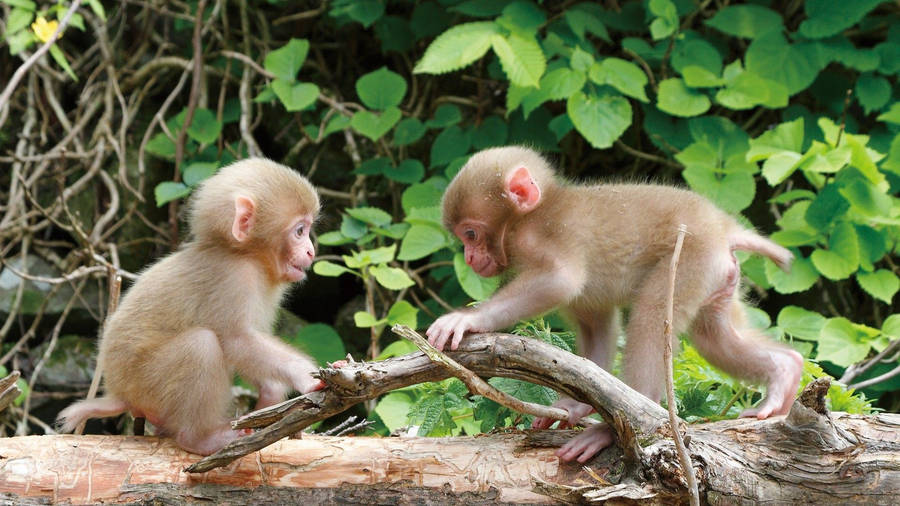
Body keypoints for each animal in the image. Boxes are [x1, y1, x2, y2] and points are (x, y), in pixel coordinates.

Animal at [58, 158, 332, 456]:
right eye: (299, 231)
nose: (310, 251)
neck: (244, 255)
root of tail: (118, 392)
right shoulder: (234, 278)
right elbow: (237, 341)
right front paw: (304, 375)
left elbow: (250, 348)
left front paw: (270, 397)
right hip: (143, 382)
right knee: (202, 345)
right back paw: (199, 439)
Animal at [426, 146, 803, 463]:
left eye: (470, 234)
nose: (469, 257)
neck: (533, 214)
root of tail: (725, 228)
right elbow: (595, 331)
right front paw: (574, 404)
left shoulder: (549, 238)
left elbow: (561, 280)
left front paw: (467, 319)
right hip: (717, 273)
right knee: (715, 335)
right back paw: (785, 373)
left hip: (692, 256)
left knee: (652, 316)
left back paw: (623, 423)